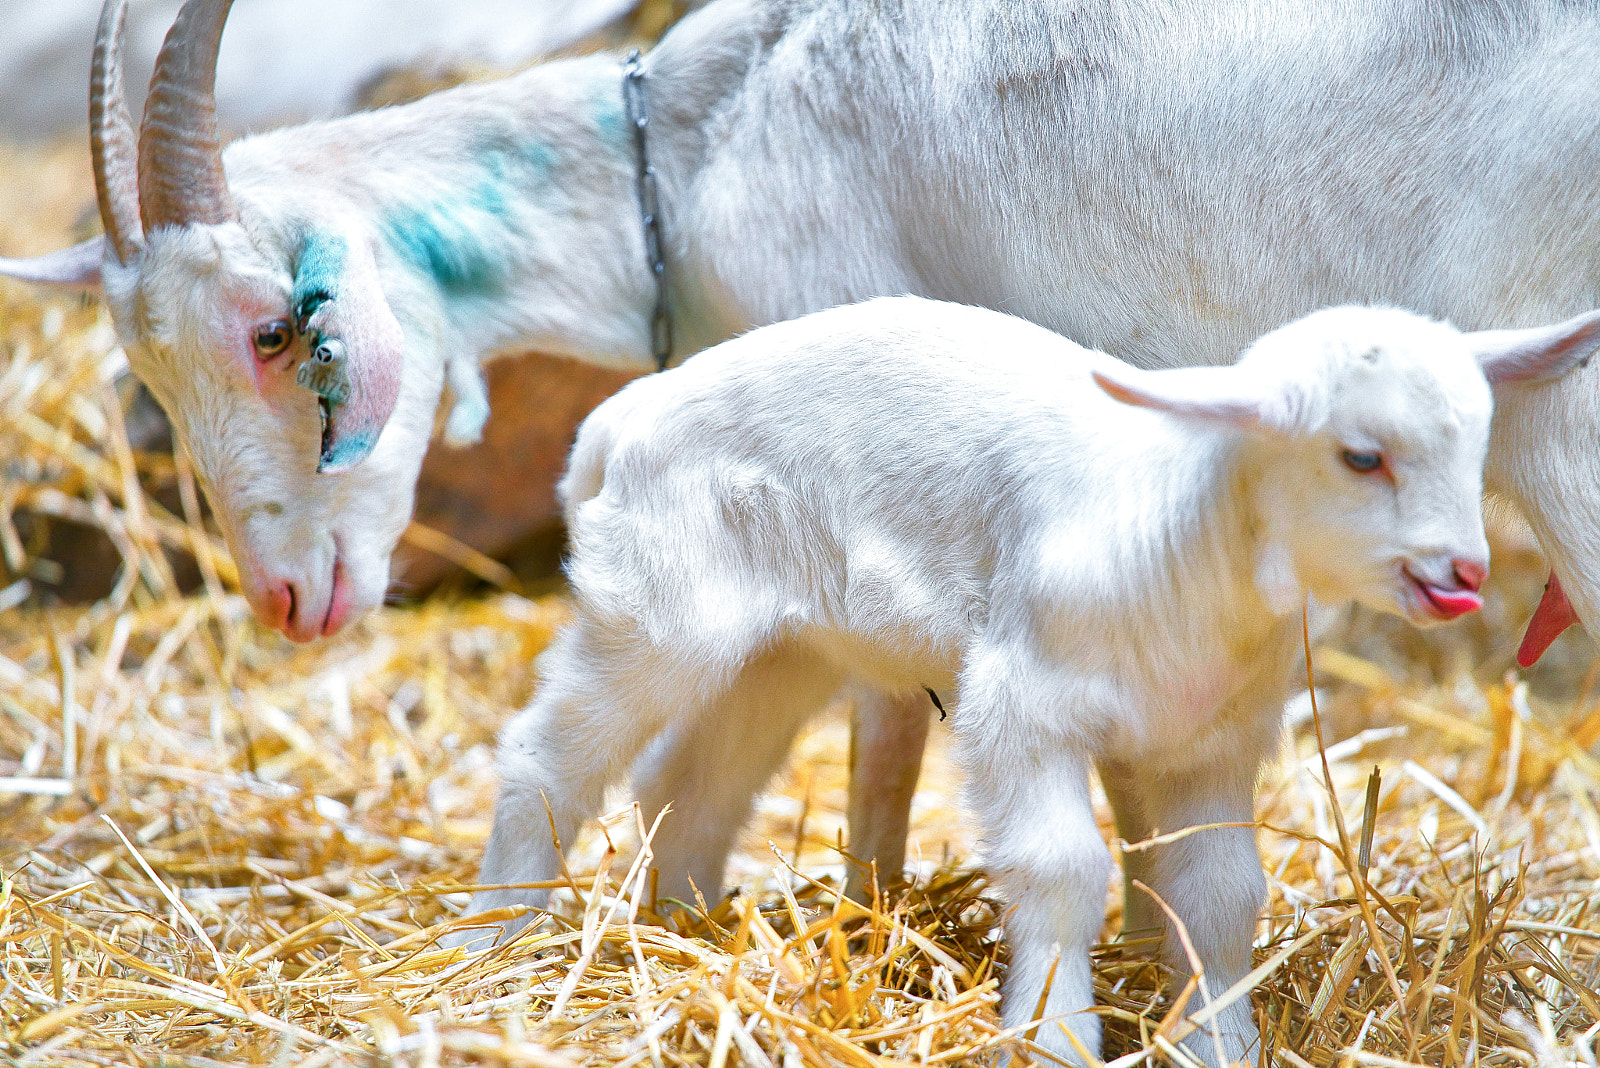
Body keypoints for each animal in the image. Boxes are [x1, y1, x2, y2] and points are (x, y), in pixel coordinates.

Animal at [7, 0, 1600, 922]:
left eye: (278, 330)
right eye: (148, 373)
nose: (288, 598)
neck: (696, 138)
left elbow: (886, 716)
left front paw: (872, 906)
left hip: (1565, 433)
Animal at [458, 296, 1599, 1065]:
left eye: (1475, 448)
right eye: (1361, 457)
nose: (1462, 575)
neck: (1184, 539)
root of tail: (622, 417)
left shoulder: (1211, 740)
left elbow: (1218, 892)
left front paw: (1218, 1038)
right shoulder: (1021, 704)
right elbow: (1062, 868)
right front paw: (1053, 1034)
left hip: (778, 651)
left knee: (692, 785)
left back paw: (686, 929)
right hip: (652, 614)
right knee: (546, 759)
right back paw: (497, 936)